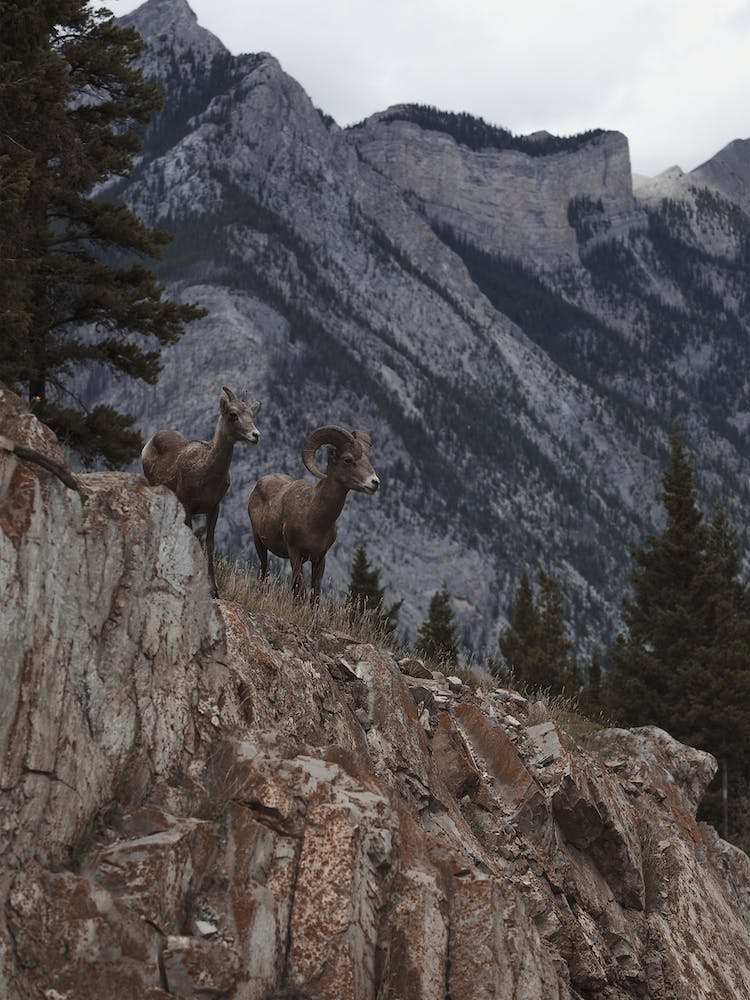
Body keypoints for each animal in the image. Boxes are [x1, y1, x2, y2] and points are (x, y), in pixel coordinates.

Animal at [141, 386, 261, 597]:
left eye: (251, 414)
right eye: (233, 414)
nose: (255, 435)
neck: (205, 470)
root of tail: (150, 441)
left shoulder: (214, 508)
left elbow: (209, 544)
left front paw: (213, 589)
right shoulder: (188, 505)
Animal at [248, 425, 379, 602]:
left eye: (368, 459)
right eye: (347, 459)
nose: (374, 482)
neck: (314, 518)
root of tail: (260, 483)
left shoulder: (319, 559)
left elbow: (314, 596)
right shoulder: (295, 553)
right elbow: (301, 592)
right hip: (259, 542)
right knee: (264, 571)